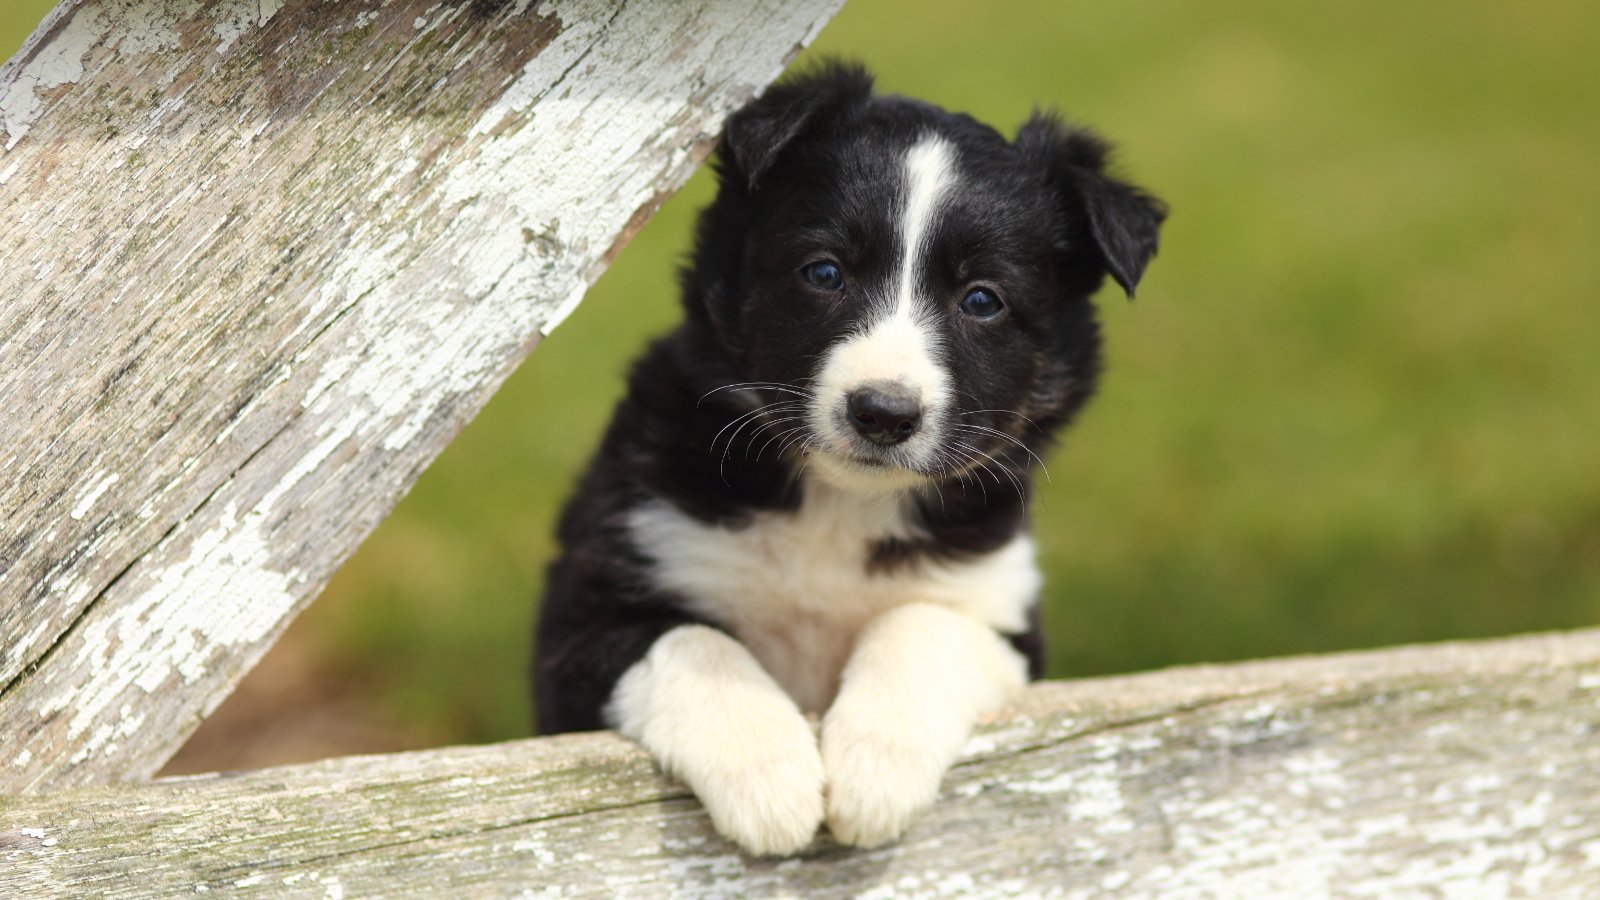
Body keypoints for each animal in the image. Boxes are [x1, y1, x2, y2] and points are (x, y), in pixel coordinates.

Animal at [537, 59, 1164, 851]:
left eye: (982, 300)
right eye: (825, 272)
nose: (884, 414)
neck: (839, 504)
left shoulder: (1003, 613)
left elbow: (922, 624)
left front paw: (874, 773)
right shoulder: (585, 612)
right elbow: (693, 642)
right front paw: (769, 776)